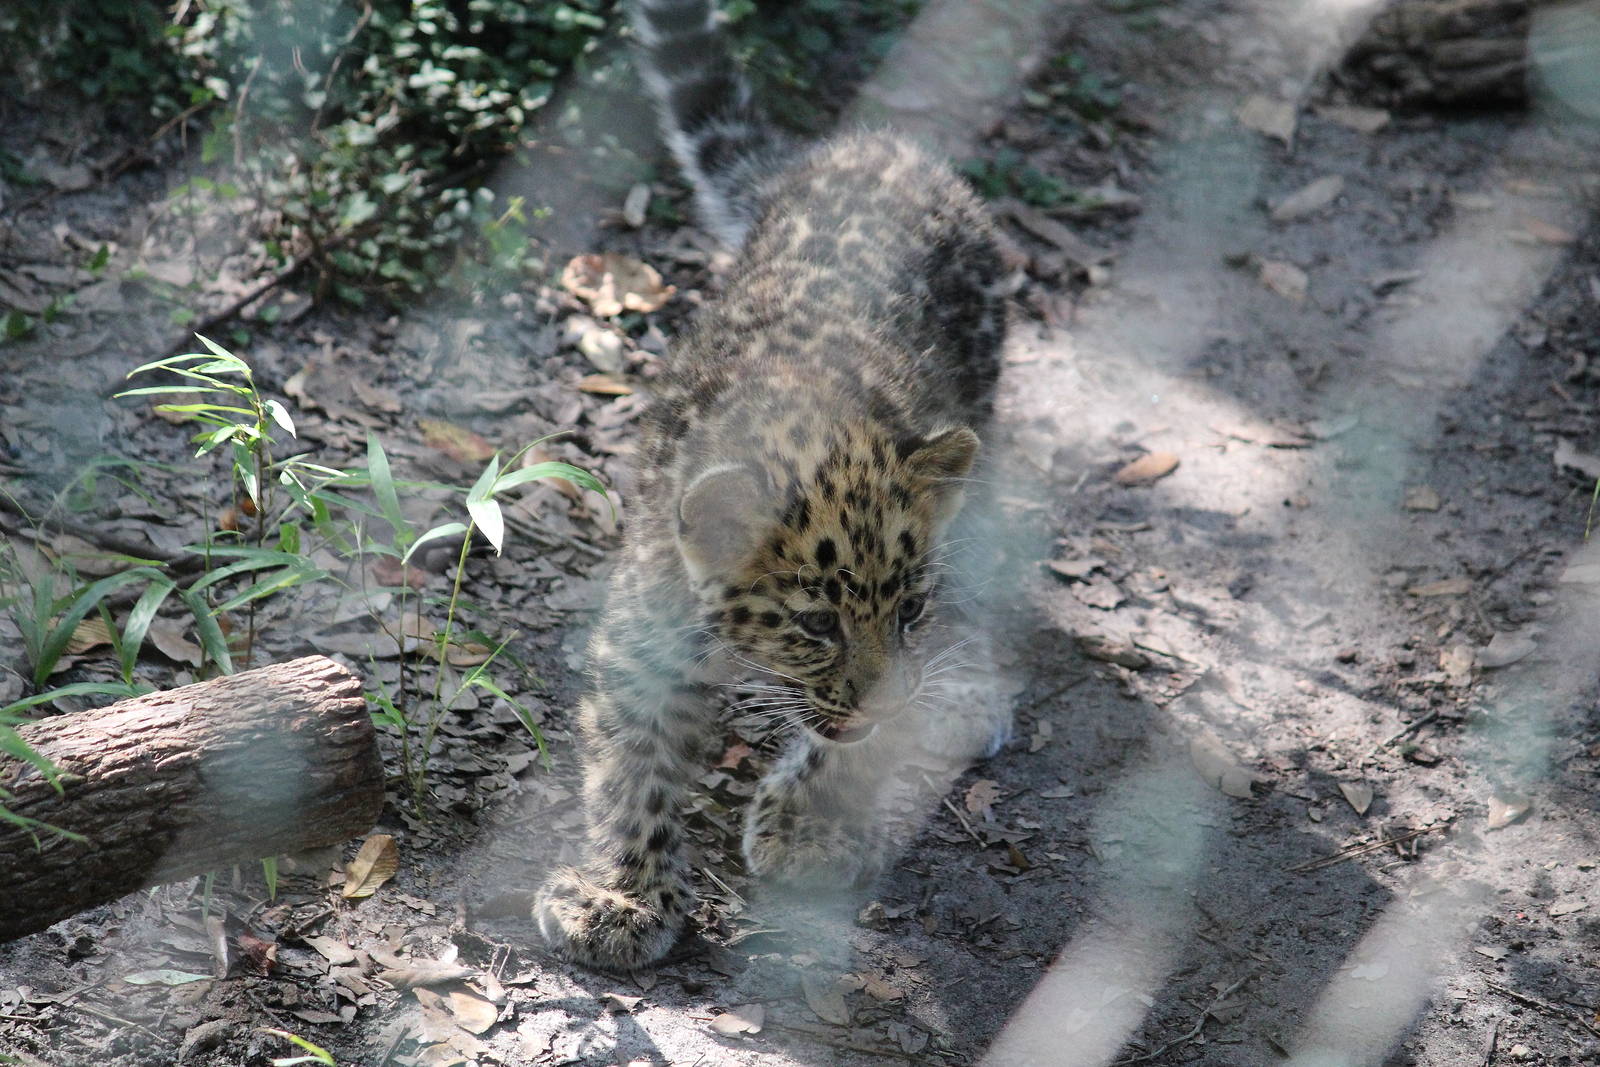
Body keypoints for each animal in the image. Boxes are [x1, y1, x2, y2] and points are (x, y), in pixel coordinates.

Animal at [534, 0, 1015, 972]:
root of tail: (877, 149)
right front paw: (622, 893)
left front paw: (809, 825)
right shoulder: (643, 637)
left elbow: (849, 744)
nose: (889, 693)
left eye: (906, 611)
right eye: (815, 624)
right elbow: (632, 764)